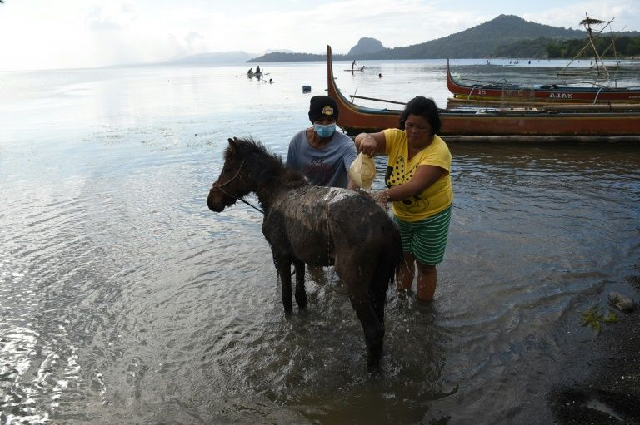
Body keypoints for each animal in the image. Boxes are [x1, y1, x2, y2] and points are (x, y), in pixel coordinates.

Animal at [209, 137, 400, 372]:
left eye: (228, 168)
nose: (211, 200)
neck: (275, 194)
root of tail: (385, 226)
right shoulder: (298, 257)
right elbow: (301, 296)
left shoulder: (280, 255)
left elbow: (286, 298)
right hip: (379, 281)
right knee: (381, 324)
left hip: (356, 283)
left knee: (373, 330)